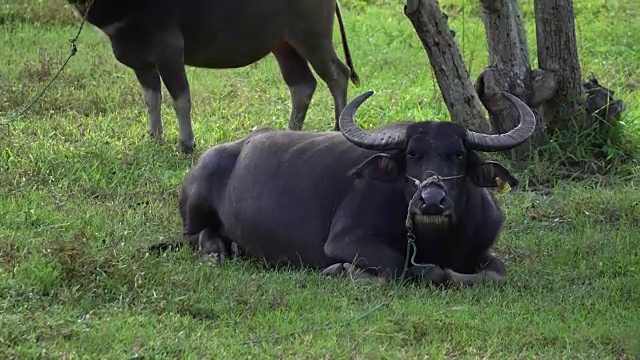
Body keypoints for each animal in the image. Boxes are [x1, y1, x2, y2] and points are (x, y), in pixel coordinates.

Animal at [69, 0, 362, 152]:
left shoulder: (170, 52)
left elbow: (180, 99)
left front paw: (186, 143)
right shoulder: (142, 63)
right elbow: (151, 99)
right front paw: (154, 136)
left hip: (312, 36)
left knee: (337, 74)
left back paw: (337, 128)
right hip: (282, 44)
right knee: (302, 84)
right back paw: (290, 132)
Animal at [176, 90, 536, 286]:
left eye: (458, 155)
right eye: (412, 154)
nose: (432, 201)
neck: (435, 238)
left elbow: (497, 272)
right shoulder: (347, 240)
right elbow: (403, 267)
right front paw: (342, 270)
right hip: (196, 203)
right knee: (195, 236)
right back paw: (217, 251)